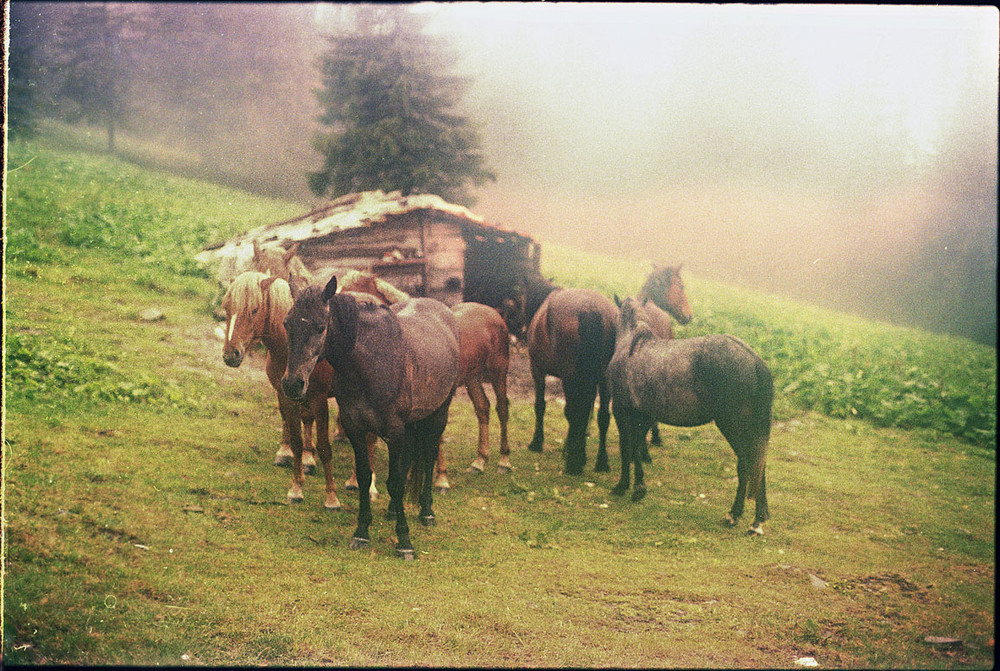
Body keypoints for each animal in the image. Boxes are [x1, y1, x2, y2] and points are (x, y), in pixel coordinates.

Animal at [219, 272, 344, 510]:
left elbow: (325, 448)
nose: (231, 355)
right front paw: (296, 487)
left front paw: (332, 497)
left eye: (254, 309)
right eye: (226, 308)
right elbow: (295, 440)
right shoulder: (286, 396)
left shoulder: (320, 400)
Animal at [278, 276, 458, 560]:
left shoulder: (394, 431)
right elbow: (364, 477)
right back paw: (395, 509)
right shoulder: (355, 428)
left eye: (320, 327)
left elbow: (395, 481)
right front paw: (361, 532)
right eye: (287, 323)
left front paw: (404, 541)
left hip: (439, 413)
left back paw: (427, 512)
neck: (371, 363)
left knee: (429, 457)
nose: (292, 384)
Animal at [524, 286, 616, 476]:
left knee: (573, 412)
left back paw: (573, 463)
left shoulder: (537, 369)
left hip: (570, 377)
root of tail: (590, 309)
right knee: (602, 416)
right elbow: (587, 413)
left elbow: (540, 406)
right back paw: (601, 462)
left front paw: (537, 442)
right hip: (603, 378)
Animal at [600, 298, 772, 536]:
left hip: (734, 426)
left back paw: (735, 515)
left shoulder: (621, 410)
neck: (633, 346)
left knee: (746, 463)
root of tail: (755, 361)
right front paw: (638, 486)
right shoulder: (643, 415)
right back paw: (756, 521)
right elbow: (636, 447)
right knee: (758, 466)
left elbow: (628, 449)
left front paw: (625, 486)